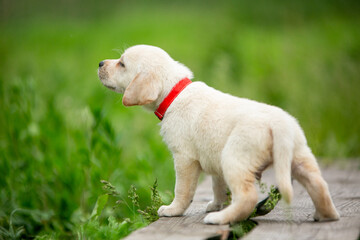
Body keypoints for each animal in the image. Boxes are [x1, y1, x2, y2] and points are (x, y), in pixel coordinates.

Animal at [98, 45, 340, 225]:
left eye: (122, 63)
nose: (100, 63)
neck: (175, 93)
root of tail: (279, 125)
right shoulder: (213, 158)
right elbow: (218, 186)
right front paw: (216, 204)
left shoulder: (184, 158)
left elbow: (183, 190)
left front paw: (173, 210)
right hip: (299, 157)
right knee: (319, 185)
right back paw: (325, 215)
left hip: (234, 158)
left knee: (247, 197)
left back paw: (219, 218)